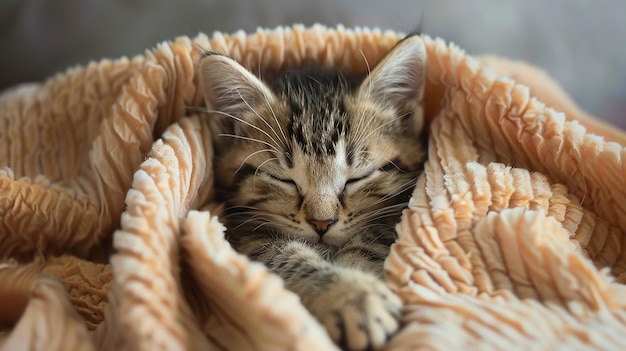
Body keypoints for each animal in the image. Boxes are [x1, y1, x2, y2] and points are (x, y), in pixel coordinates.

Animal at [197, 34, 426, 350]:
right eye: (282, 179)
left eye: (358, 178)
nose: (322, 223)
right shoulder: (240, 233)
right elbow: (282, 255)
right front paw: (350, 294)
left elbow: (371, 239)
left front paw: (356, 272)